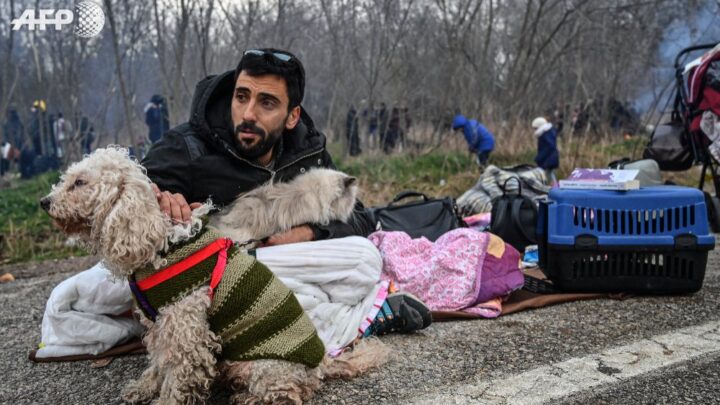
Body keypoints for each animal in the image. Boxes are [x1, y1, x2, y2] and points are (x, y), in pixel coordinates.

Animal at [39, 147, 388, 402]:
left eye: (80, 183)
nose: (44, 201)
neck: (158, 241)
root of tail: (322, 362)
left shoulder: (186, 332)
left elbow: (175, 380)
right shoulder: (161, 328)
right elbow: (158, 365)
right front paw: (143, 387)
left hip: (265, 368)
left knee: (288, 396)